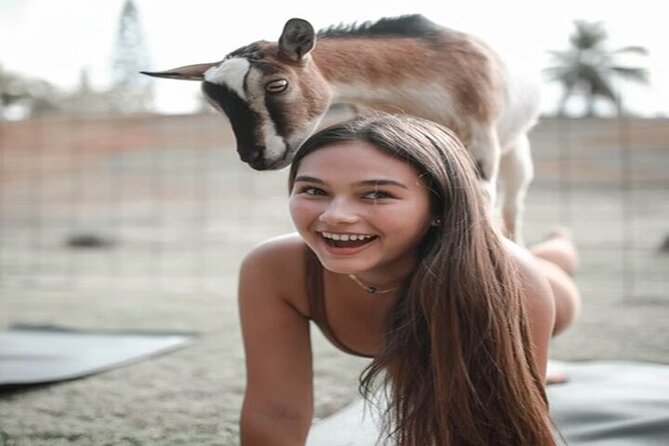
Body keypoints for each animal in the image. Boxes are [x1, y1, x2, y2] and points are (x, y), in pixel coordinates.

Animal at [142, 15, 541, 243]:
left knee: (511, 210)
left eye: (277, 84)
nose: (255, 154)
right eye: (216, 105)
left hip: (515, 150)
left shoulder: (481, 143)